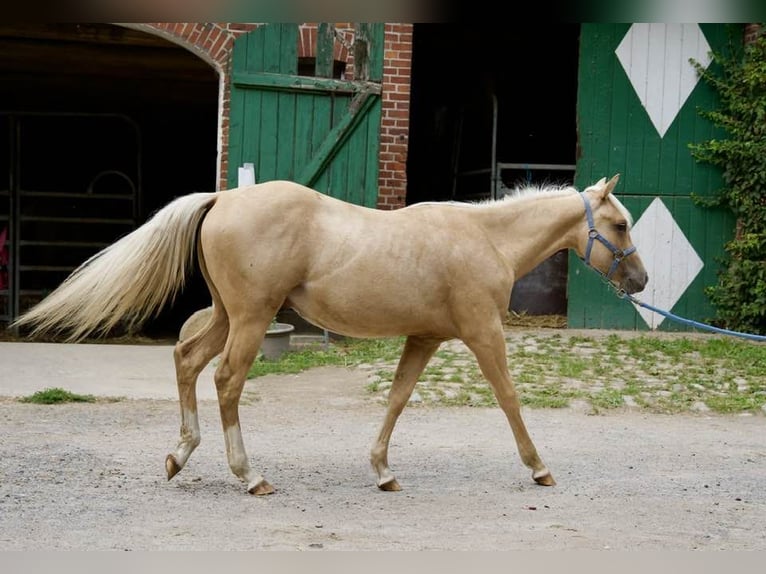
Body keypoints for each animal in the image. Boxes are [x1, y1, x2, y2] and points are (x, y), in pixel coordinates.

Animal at [11, 174, 647, 495]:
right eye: (619, 224)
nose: (641, 280)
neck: (483, 239)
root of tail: (223, 198)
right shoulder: (482, 333)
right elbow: (509, 397)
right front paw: (539, 467)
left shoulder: (424, 339)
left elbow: (396, 399)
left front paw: (383, 471)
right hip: (250, 318)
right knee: (227, 380)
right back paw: (251, 476)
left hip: (226, 315)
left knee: (188, 360)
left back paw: (179, 455)